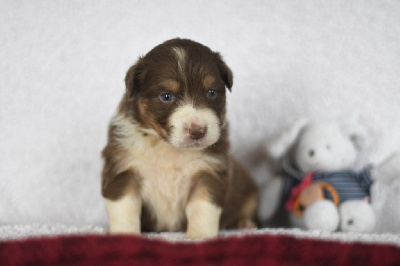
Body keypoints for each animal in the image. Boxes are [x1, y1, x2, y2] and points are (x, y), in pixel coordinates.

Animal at [101, 38, 258, 239]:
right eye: (166, 96)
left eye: (211, 92)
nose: (198, 131)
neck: (169, 148)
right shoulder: (122, 169)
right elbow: (125, 208)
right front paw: (125, 236)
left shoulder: (209, 171)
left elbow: (203, 207)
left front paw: (199, 237)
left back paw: (244, 224)